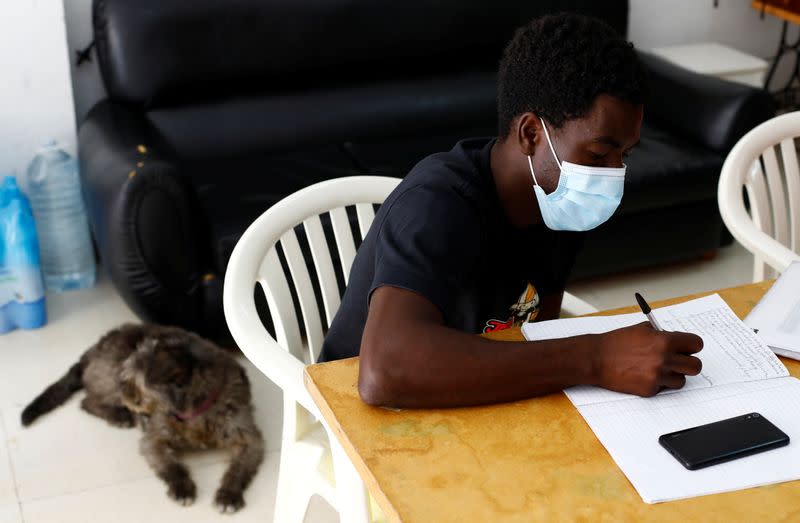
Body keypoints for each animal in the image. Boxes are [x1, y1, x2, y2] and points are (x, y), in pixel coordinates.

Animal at [20, 326, 266, 512]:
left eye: (132, 380)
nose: (122, 386)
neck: (195, 411)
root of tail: (93, 349)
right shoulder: (153, 440)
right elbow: (171, 465)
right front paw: (182, 488)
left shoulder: (249, 440)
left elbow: (239, 468)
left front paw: (228, 494)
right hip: (107, 378)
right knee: (87, 402)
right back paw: (118, 415)